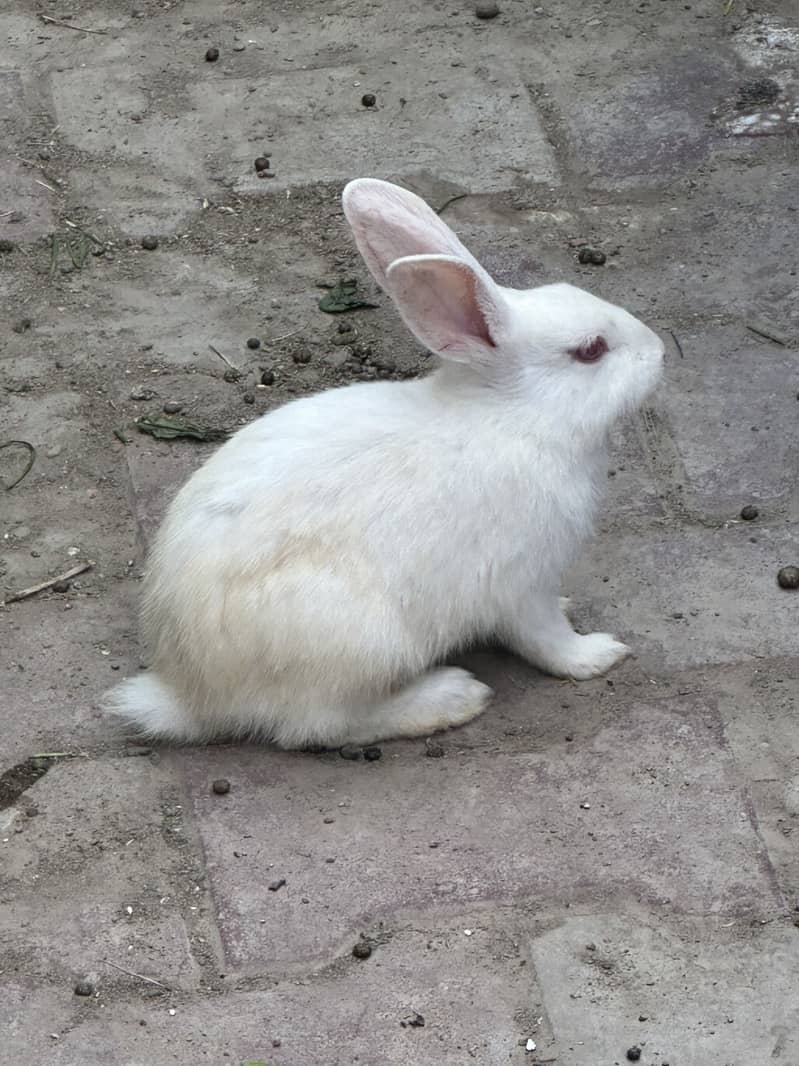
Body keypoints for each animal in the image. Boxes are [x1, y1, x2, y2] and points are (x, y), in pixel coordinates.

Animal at [107, 177, 664, 750]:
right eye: (591, 350)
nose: (660, 349)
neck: (518, 416)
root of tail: (187, 695)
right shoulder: (522, 583)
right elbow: (547, 640)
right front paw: (598, 655)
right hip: (363, 644)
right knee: (319, 726)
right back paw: (452, 697)